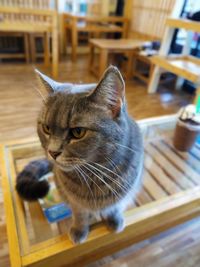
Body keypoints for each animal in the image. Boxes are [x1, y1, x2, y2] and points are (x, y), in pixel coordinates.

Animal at [16, 65, 144, 245]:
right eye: (46, 128)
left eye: (78, 132)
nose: (52, 152)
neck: (94, 175)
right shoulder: (75, 201)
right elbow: (80, 214)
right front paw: (79, 230)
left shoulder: (125, 191)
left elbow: (114, 206)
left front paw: (114, 219)